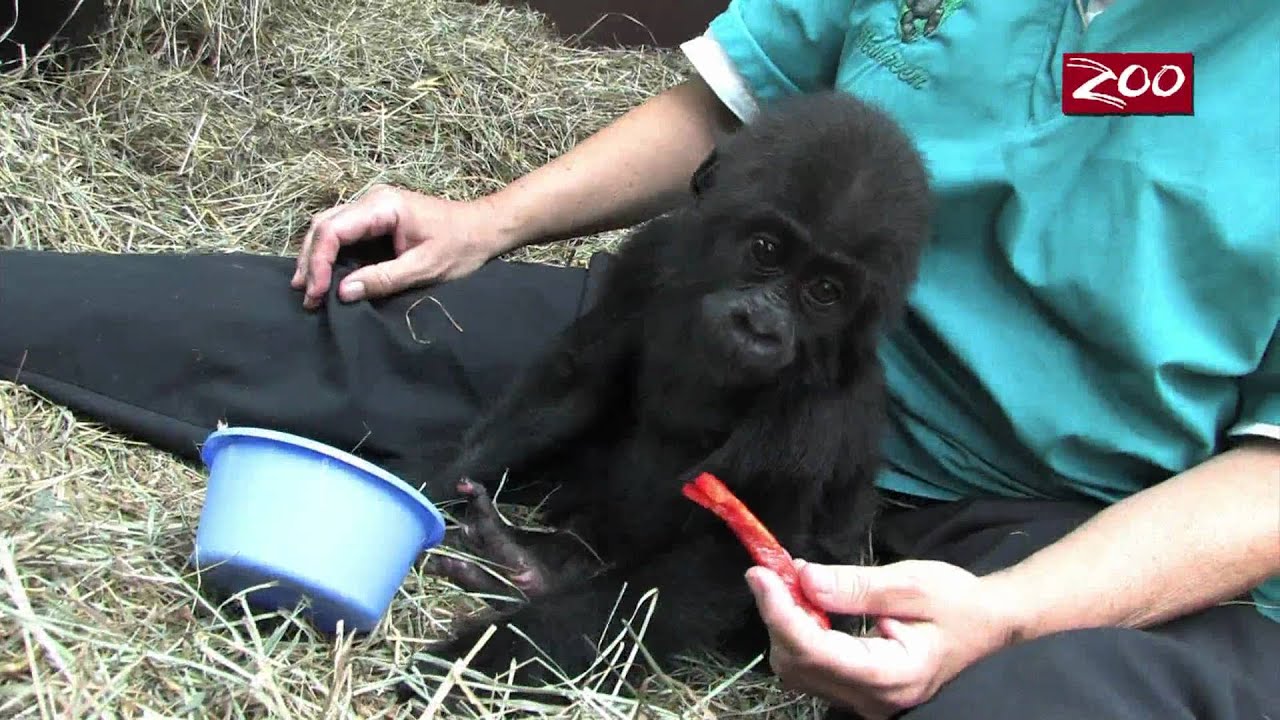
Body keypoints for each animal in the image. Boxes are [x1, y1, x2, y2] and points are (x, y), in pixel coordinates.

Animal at [396, 90, 933, 706]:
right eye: (766, 250)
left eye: (825, 291)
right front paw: (414, 489)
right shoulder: (650, 259)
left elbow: (716, 561)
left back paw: (534, 571)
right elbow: (573, 384)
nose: (761, 324)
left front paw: (472, 661)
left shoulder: (823, 411)